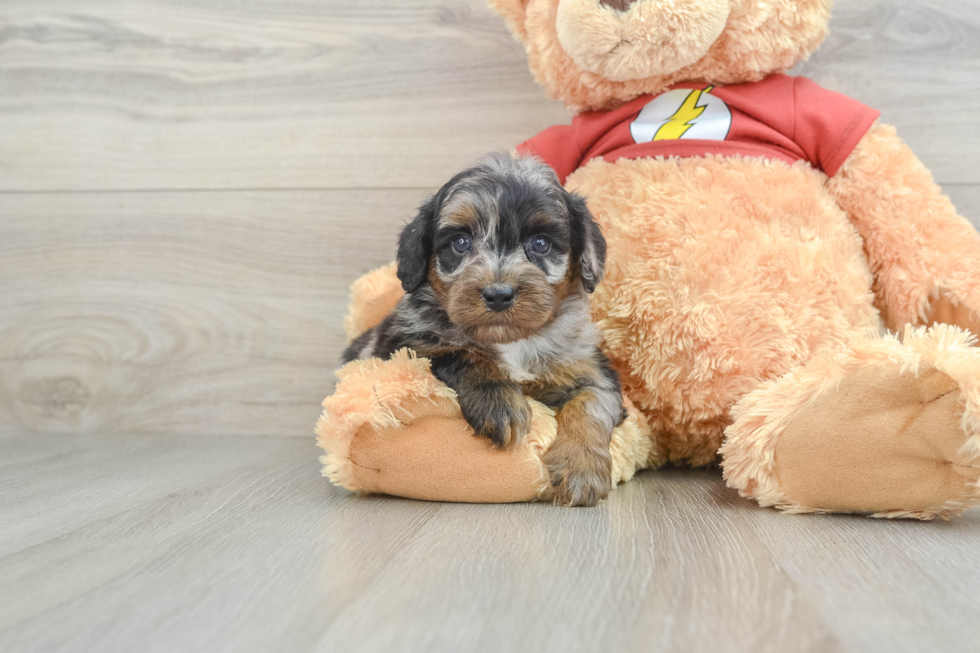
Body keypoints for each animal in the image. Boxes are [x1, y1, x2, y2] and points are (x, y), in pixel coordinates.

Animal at [344, 152, 624, 504]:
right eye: (461, 242)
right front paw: (499, 402)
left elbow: (590, 404)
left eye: (541, 243)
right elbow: (461, 355)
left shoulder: (593, 371)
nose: (498, 294)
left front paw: (580, 466)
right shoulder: (403, 347)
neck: (512, 342)